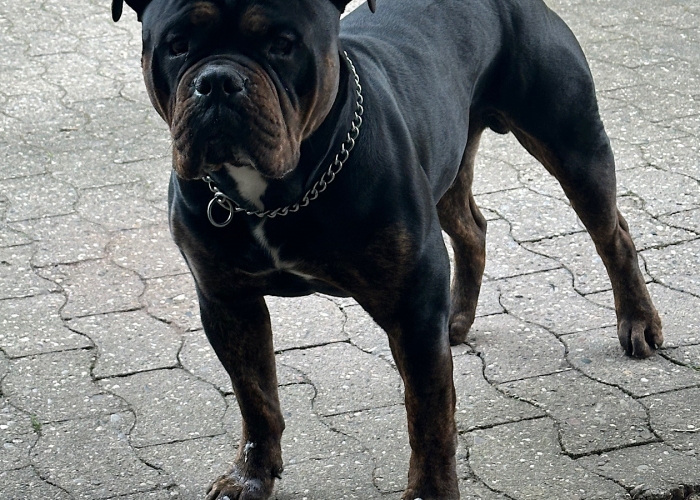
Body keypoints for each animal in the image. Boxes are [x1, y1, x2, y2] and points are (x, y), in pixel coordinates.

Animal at [112, 0, 664, 496]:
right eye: (177, 45)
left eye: (282, 44)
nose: (218, 81)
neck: (280, 195)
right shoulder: (227, 302)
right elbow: (256, 397)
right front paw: (251, 477)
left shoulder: (411, 307)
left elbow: (428, 416)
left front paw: (429, 493)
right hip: (448, 167)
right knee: (472, 228)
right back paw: (457, 320)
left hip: (571, 143)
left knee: (613, 235)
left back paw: (638, 323)